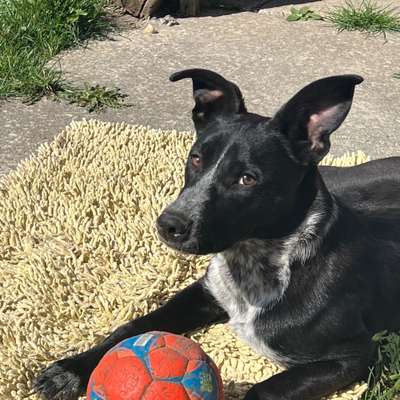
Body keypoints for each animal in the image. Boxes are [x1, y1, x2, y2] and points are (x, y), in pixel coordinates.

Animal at [35, 69, 400, 400]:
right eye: (195, 158)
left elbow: (262, 390)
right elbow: (135, 325)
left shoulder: (352, 356)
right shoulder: (204, 292)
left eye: (247, 179)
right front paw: (70, 370)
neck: (259, 261)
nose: (169, 224)